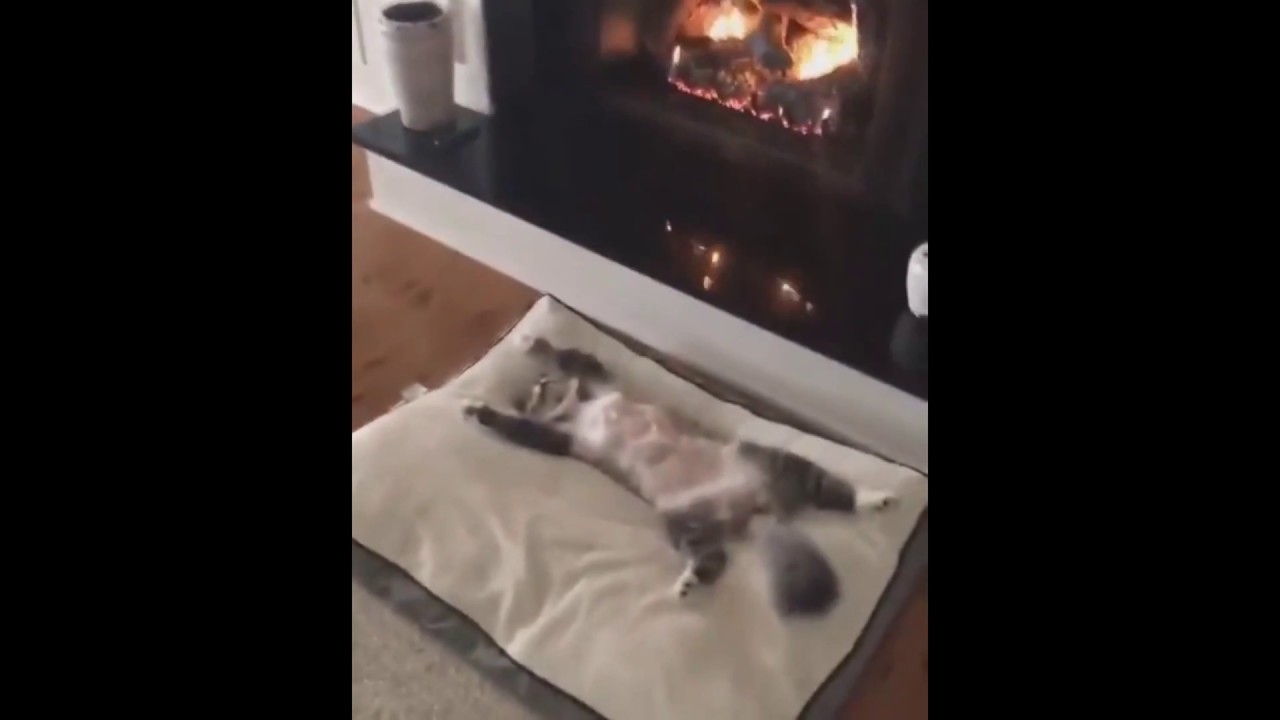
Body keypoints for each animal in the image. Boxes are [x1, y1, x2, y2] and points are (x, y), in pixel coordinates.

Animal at [460, 335, 897, 617]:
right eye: (530, 396)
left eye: (538, 386)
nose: (538, 391)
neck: (578, 409)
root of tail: (754, 510)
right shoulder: (562, 438)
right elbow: (521, 427)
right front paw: (481, 410)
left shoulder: (598, 382)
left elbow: (571, 357)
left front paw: (530, 345)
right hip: (687, 522)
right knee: (715, 559)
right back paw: (689, 583)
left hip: (767, 461)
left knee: (831, 488)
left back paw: (874, 497)